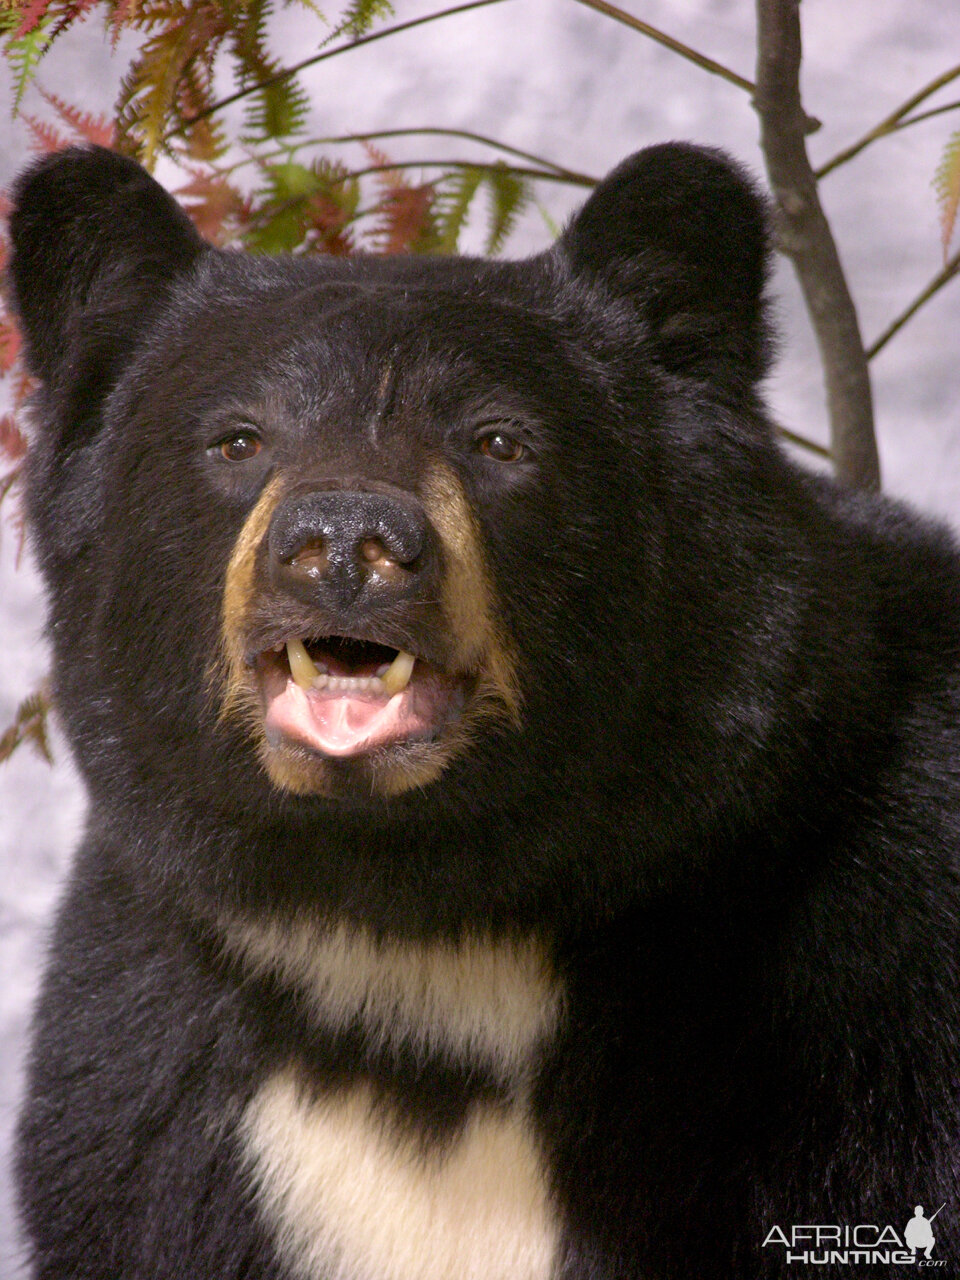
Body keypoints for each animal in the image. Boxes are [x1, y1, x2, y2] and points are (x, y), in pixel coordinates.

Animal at [7, 142, 960, 1280]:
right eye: (236, 441)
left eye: (500, 441)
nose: (345, 544)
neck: (423, 940)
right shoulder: (156, 1084)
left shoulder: (867, 1020)